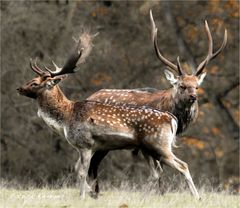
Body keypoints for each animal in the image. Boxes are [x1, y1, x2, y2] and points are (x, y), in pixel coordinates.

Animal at [16, 31, 201, 199]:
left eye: (34, 83)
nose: (19, 88)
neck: (66, 117)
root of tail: (172, 119)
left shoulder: (85, 143)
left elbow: (82, 171)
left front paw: (83, 196)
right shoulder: (90, 147)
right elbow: (79, 170)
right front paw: (91, 193)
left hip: (159, 145)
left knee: (182, 165)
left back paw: (196, 197)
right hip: (148, 149)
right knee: (157, 172)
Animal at [86, 9, 227, 195]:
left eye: (197, 86)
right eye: (182, 86)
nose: (193, 97)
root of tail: (89, 97)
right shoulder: (148, 144)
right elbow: (158, 171)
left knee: (93, 164)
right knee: (92, 164)